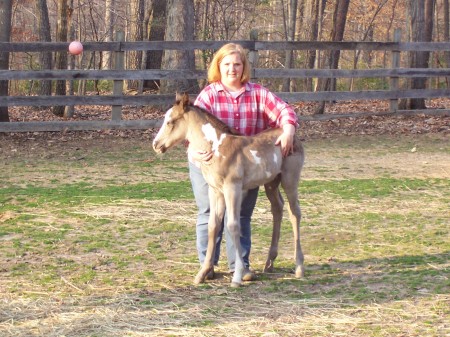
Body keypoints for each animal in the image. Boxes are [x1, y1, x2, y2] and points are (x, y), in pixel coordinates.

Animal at [152, 92, 306, 286]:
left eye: (170, 121)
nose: (156, 145)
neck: (216, 148)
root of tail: (293, 137)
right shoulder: (215, 190)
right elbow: (212, 225)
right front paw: (203, 272)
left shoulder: (232, 187)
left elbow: (233, 225)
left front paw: (238, 276)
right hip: (271, 182)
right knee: (277, 208)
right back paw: (269, 263)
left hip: (289, 178)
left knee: (294, 212)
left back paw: (299, 267)